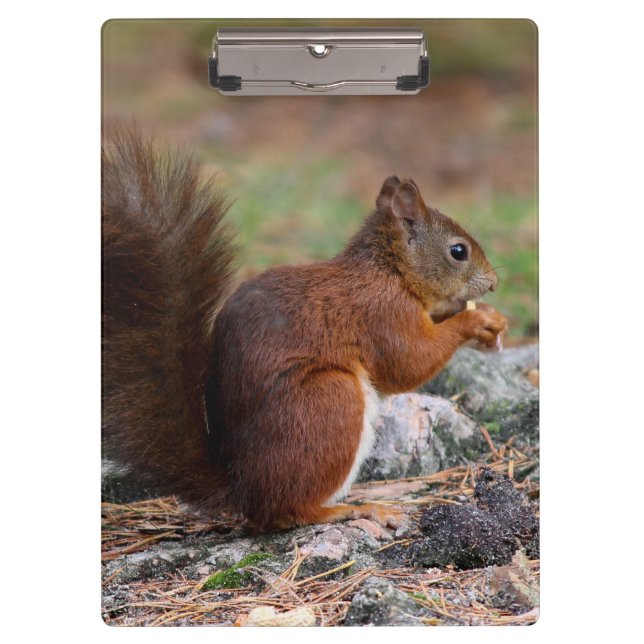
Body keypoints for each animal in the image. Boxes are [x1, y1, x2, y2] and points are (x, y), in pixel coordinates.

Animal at [102, 131, 507, 532]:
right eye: (458, 251)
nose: (493, 283)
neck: (389, 272)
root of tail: (241, 490)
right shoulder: (382, 314)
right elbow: (407, 363)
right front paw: (473, 322)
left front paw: (487, 318)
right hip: (328, 401)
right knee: (289, 509)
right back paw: (356, 509)